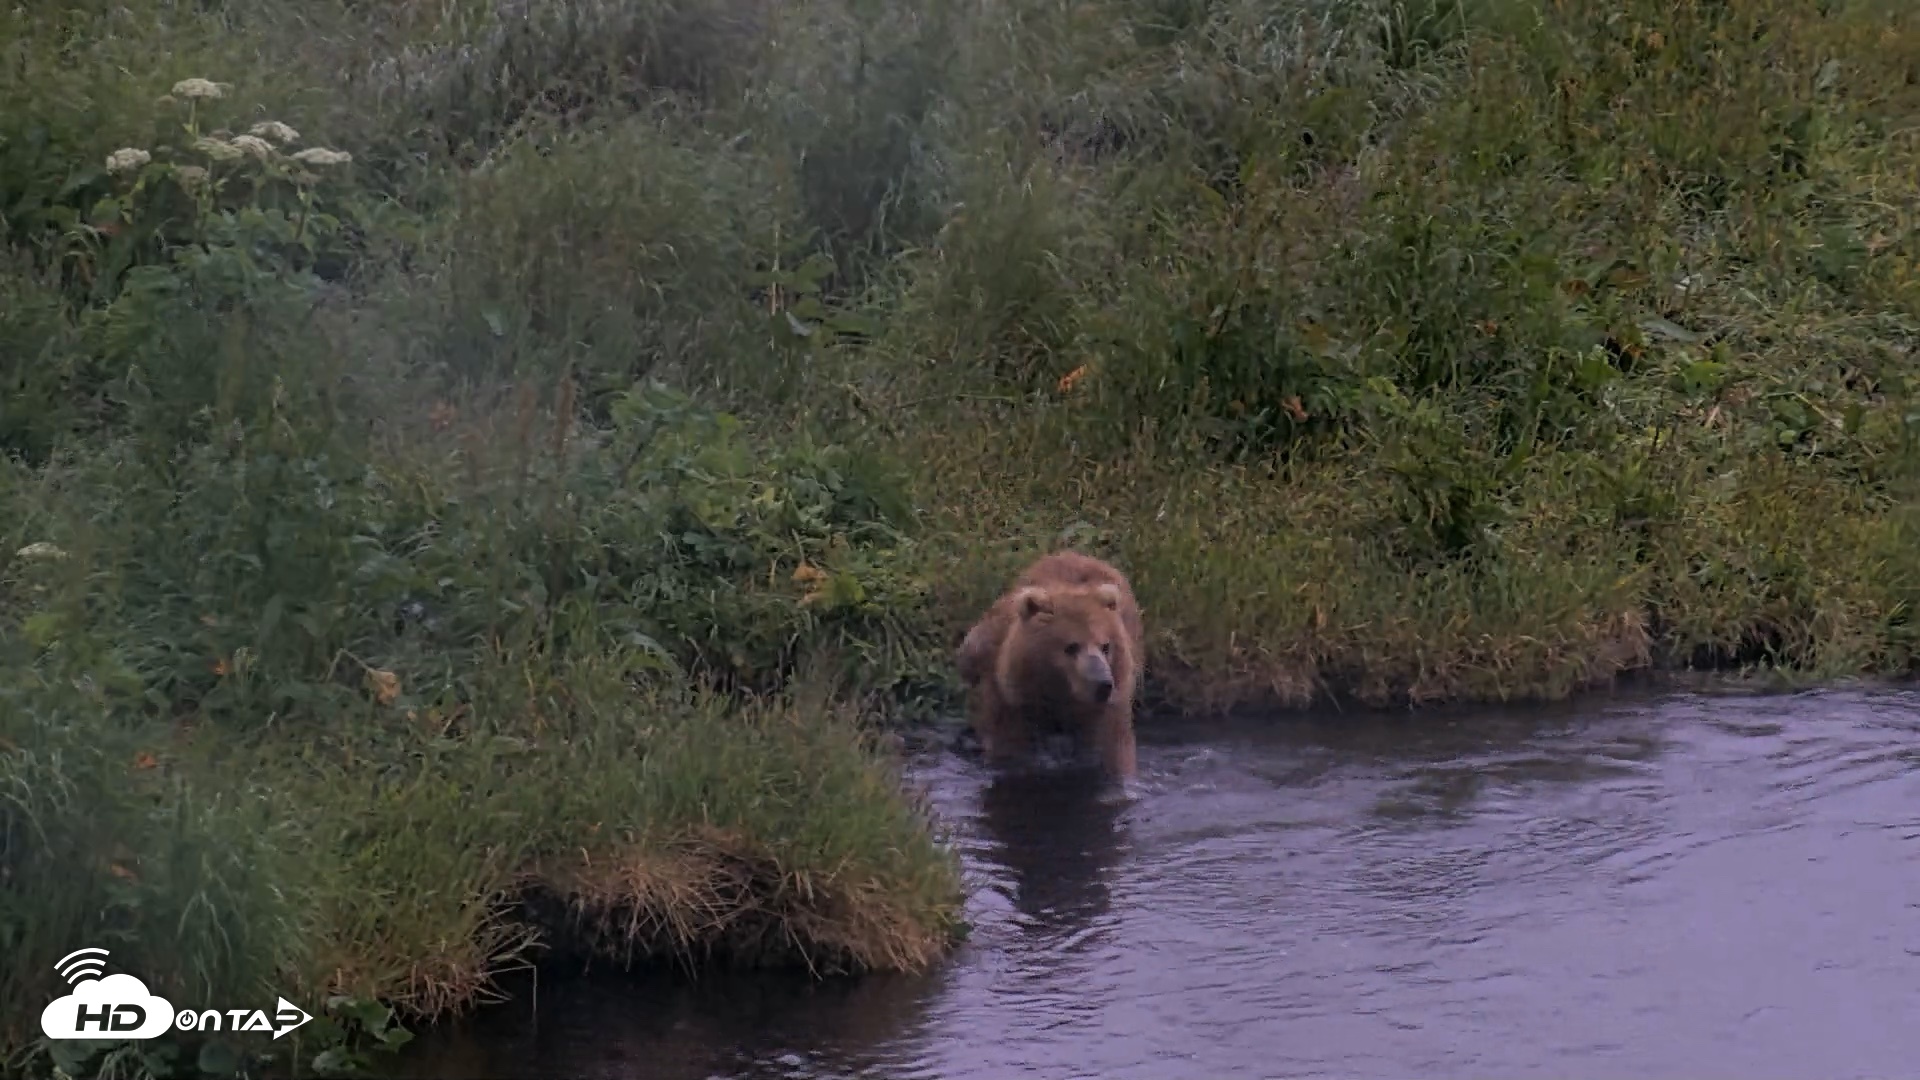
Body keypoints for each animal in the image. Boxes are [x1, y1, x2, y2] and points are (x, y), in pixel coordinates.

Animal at [955, 551, 1145, 779]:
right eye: (1071, 647)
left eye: (1106, 646)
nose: (1103, 684)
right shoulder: (1010, 701)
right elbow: (1009, 748)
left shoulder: (1109, 708)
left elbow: (1114, 752)